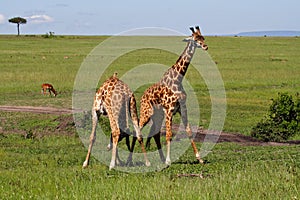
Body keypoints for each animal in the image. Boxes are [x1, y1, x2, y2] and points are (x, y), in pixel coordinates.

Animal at [139, 25, 207, 165]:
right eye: (195, 39)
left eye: (203, 37)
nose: (205, 46)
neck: (178, 79)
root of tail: (143, 96)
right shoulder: (169, 110)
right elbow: (169, 135)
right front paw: (169, 160)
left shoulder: (182, 108)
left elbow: (189, 131)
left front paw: (199, 158)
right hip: (146, 113)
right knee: (138, 130)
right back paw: (143, 160)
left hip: (157, 116)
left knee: (155, 133)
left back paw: (160, 158)